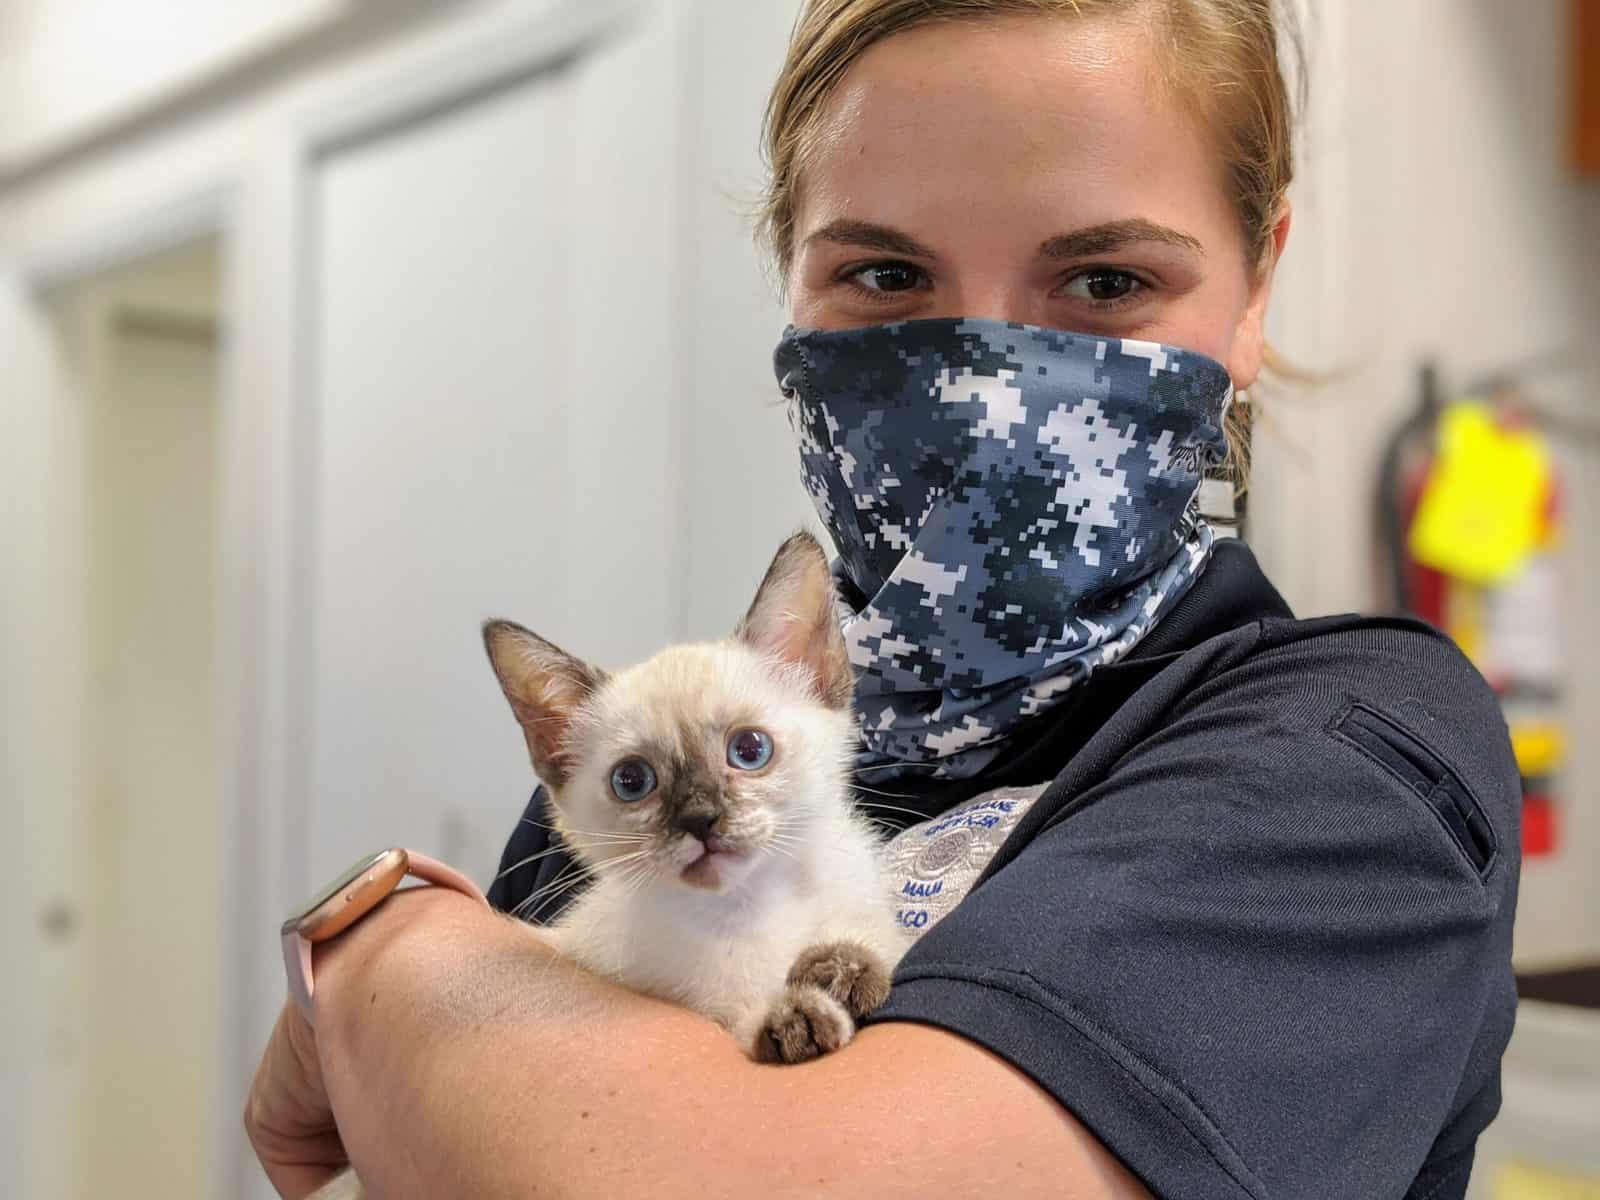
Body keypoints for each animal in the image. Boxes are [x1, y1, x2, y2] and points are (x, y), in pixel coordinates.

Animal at [311, 531, 903, 1200]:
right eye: (632, 781)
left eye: (749, 750)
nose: (701, 819)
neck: (751, 906)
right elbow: (737, 1015)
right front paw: (794, 1019)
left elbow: (874, 943)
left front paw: (841, 969)